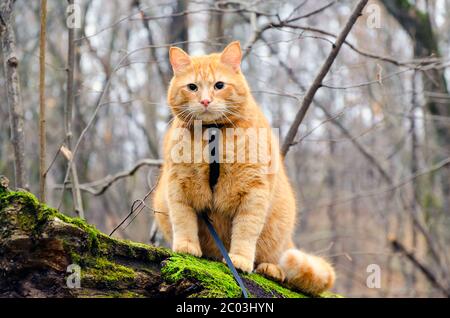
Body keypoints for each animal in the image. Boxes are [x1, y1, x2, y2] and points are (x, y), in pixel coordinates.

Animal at [153, 41, 336, 294]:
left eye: (219, 85)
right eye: (192, 87)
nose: (205, 101)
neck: (213, 133)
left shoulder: (254, 192)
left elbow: (246, 231)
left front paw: (238, 260)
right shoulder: (178, 186)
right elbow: (183, 220)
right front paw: (186, 246)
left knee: (277, 259)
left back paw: (271, 268)